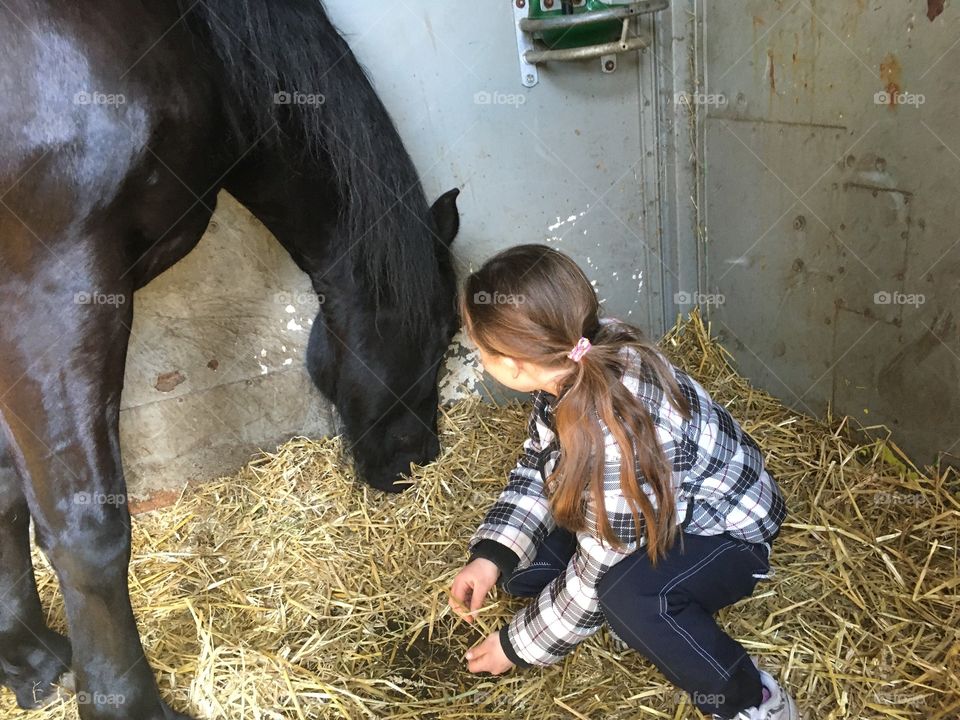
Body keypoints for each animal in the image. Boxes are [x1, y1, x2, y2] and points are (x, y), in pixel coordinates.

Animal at [0, 1, 461, 717]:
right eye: (443, 335)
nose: (417, 462)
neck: (200, 48)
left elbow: (4, 490)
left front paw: (27, 656)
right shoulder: (51, 298)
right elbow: (88, 534)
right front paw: (123, 702)